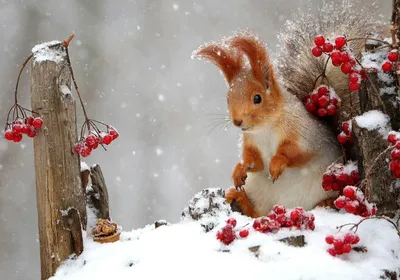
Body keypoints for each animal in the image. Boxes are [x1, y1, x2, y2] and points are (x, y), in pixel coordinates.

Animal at [192, 1, 390, 218]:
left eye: (257, 98)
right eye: (228, 99)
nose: (237, 121)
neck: (265, 129)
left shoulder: (303, 134)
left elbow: (295, 153)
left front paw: (277, 163)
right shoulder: (251, 142)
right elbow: (255, 162)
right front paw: (240, 169)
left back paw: (327, 201)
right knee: (257, 213)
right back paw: (240, 199)